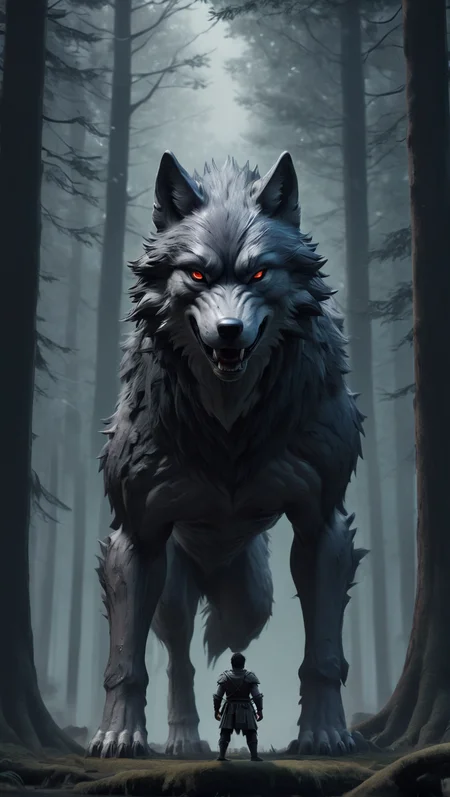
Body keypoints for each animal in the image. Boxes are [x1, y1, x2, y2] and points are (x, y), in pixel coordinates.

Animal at [87, 151, 367, 759]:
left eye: (259, 274)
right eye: (197, 275)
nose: (230, 332)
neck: (229, 422)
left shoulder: (321, 526)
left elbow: (324, 656)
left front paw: (325, 733)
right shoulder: (136, 537)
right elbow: (125, 662)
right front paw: (119, 734)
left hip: (252, 597)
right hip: (172, 586)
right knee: (179, 659)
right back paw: (184, 738)